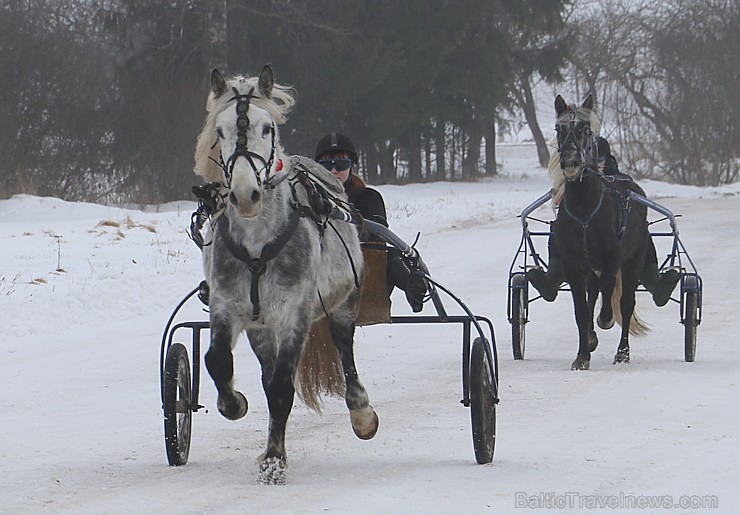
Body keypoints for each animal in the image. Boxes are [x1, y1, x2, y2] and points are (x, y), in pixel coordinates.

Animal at [192, 65, 376, 484]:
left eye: (267, 127)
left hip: (346, 300)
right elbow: (218, 361)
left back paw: (361, 412)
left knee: (344, 348)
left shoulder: (294, 311)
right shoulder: (227, 305)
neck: (257, 245)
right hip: (261, 326)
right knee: (267, 368)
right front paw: (234, 403)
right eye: (220, 130)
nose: (245, 195)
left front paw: (274, 460)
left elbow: (281, 389)